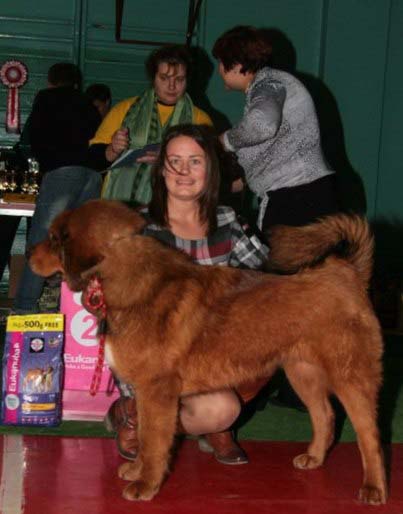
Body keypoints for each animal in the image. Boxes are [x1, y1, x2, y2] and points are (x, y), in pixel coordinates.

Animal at [28, 200, 388, 504]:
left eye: (54, 238)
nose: (29, 251)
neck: (129, 279)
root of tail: (349, 273)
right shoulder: (147, 393)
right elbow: (144, 436)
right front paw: (137, 470)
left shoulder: (157, 391)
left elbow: (154, 441)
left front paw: (145, 484)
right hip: (303, 374)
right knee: (325, 416)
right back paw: (314, 457)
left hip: (350, 377)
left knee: (370, 435)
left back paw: (374, 487)